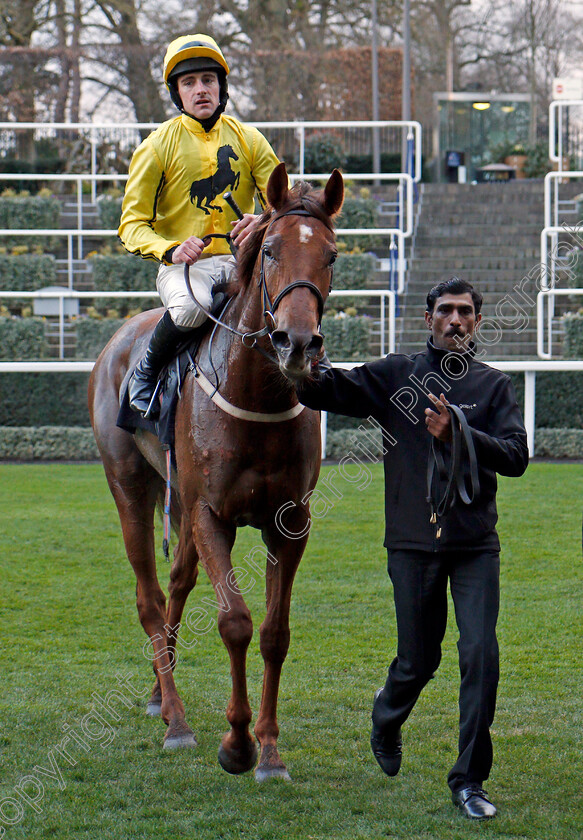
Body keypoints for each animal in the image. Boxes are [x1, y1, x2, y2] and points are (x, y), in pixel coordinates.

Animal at [86, 164, 342, 780]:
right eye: (270, 250)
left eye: (331, 255)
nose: (297, 343)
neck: (256, 395)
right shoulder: (211, 515)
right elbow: (236, 623)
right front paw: (237, 744)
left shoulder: (289, 522)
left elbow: (274, 632)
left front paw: (269, 750)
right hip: (129, 485)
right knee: (150, 597)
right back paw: (176, 720)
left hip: (174, 494)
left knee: (177, 582)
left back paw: (161, 692)